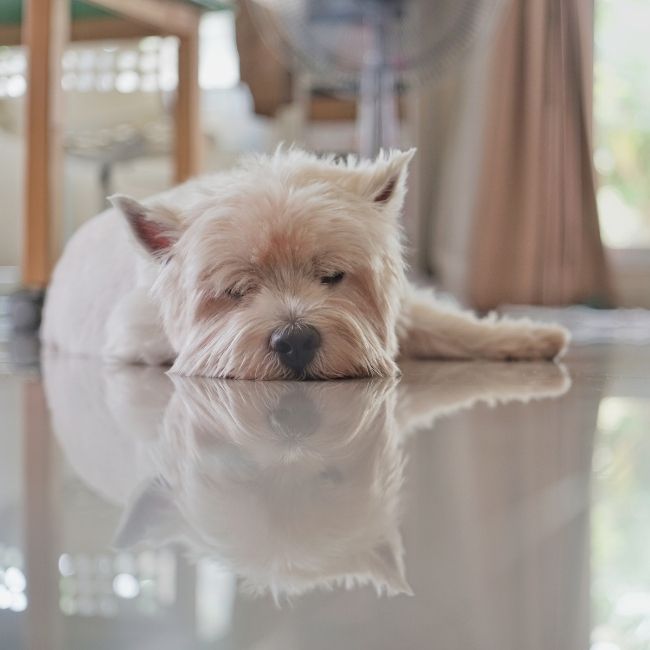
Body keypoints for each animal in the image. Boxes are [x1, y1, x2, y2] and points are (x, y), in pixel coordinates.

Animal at [41, 149, 568, 378]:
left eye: (332, 276)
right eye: (236, 291)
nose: (294, 341)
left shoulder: (406, 309)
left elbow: (449, 323)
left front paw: (528, 337)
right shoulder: (135, 337)